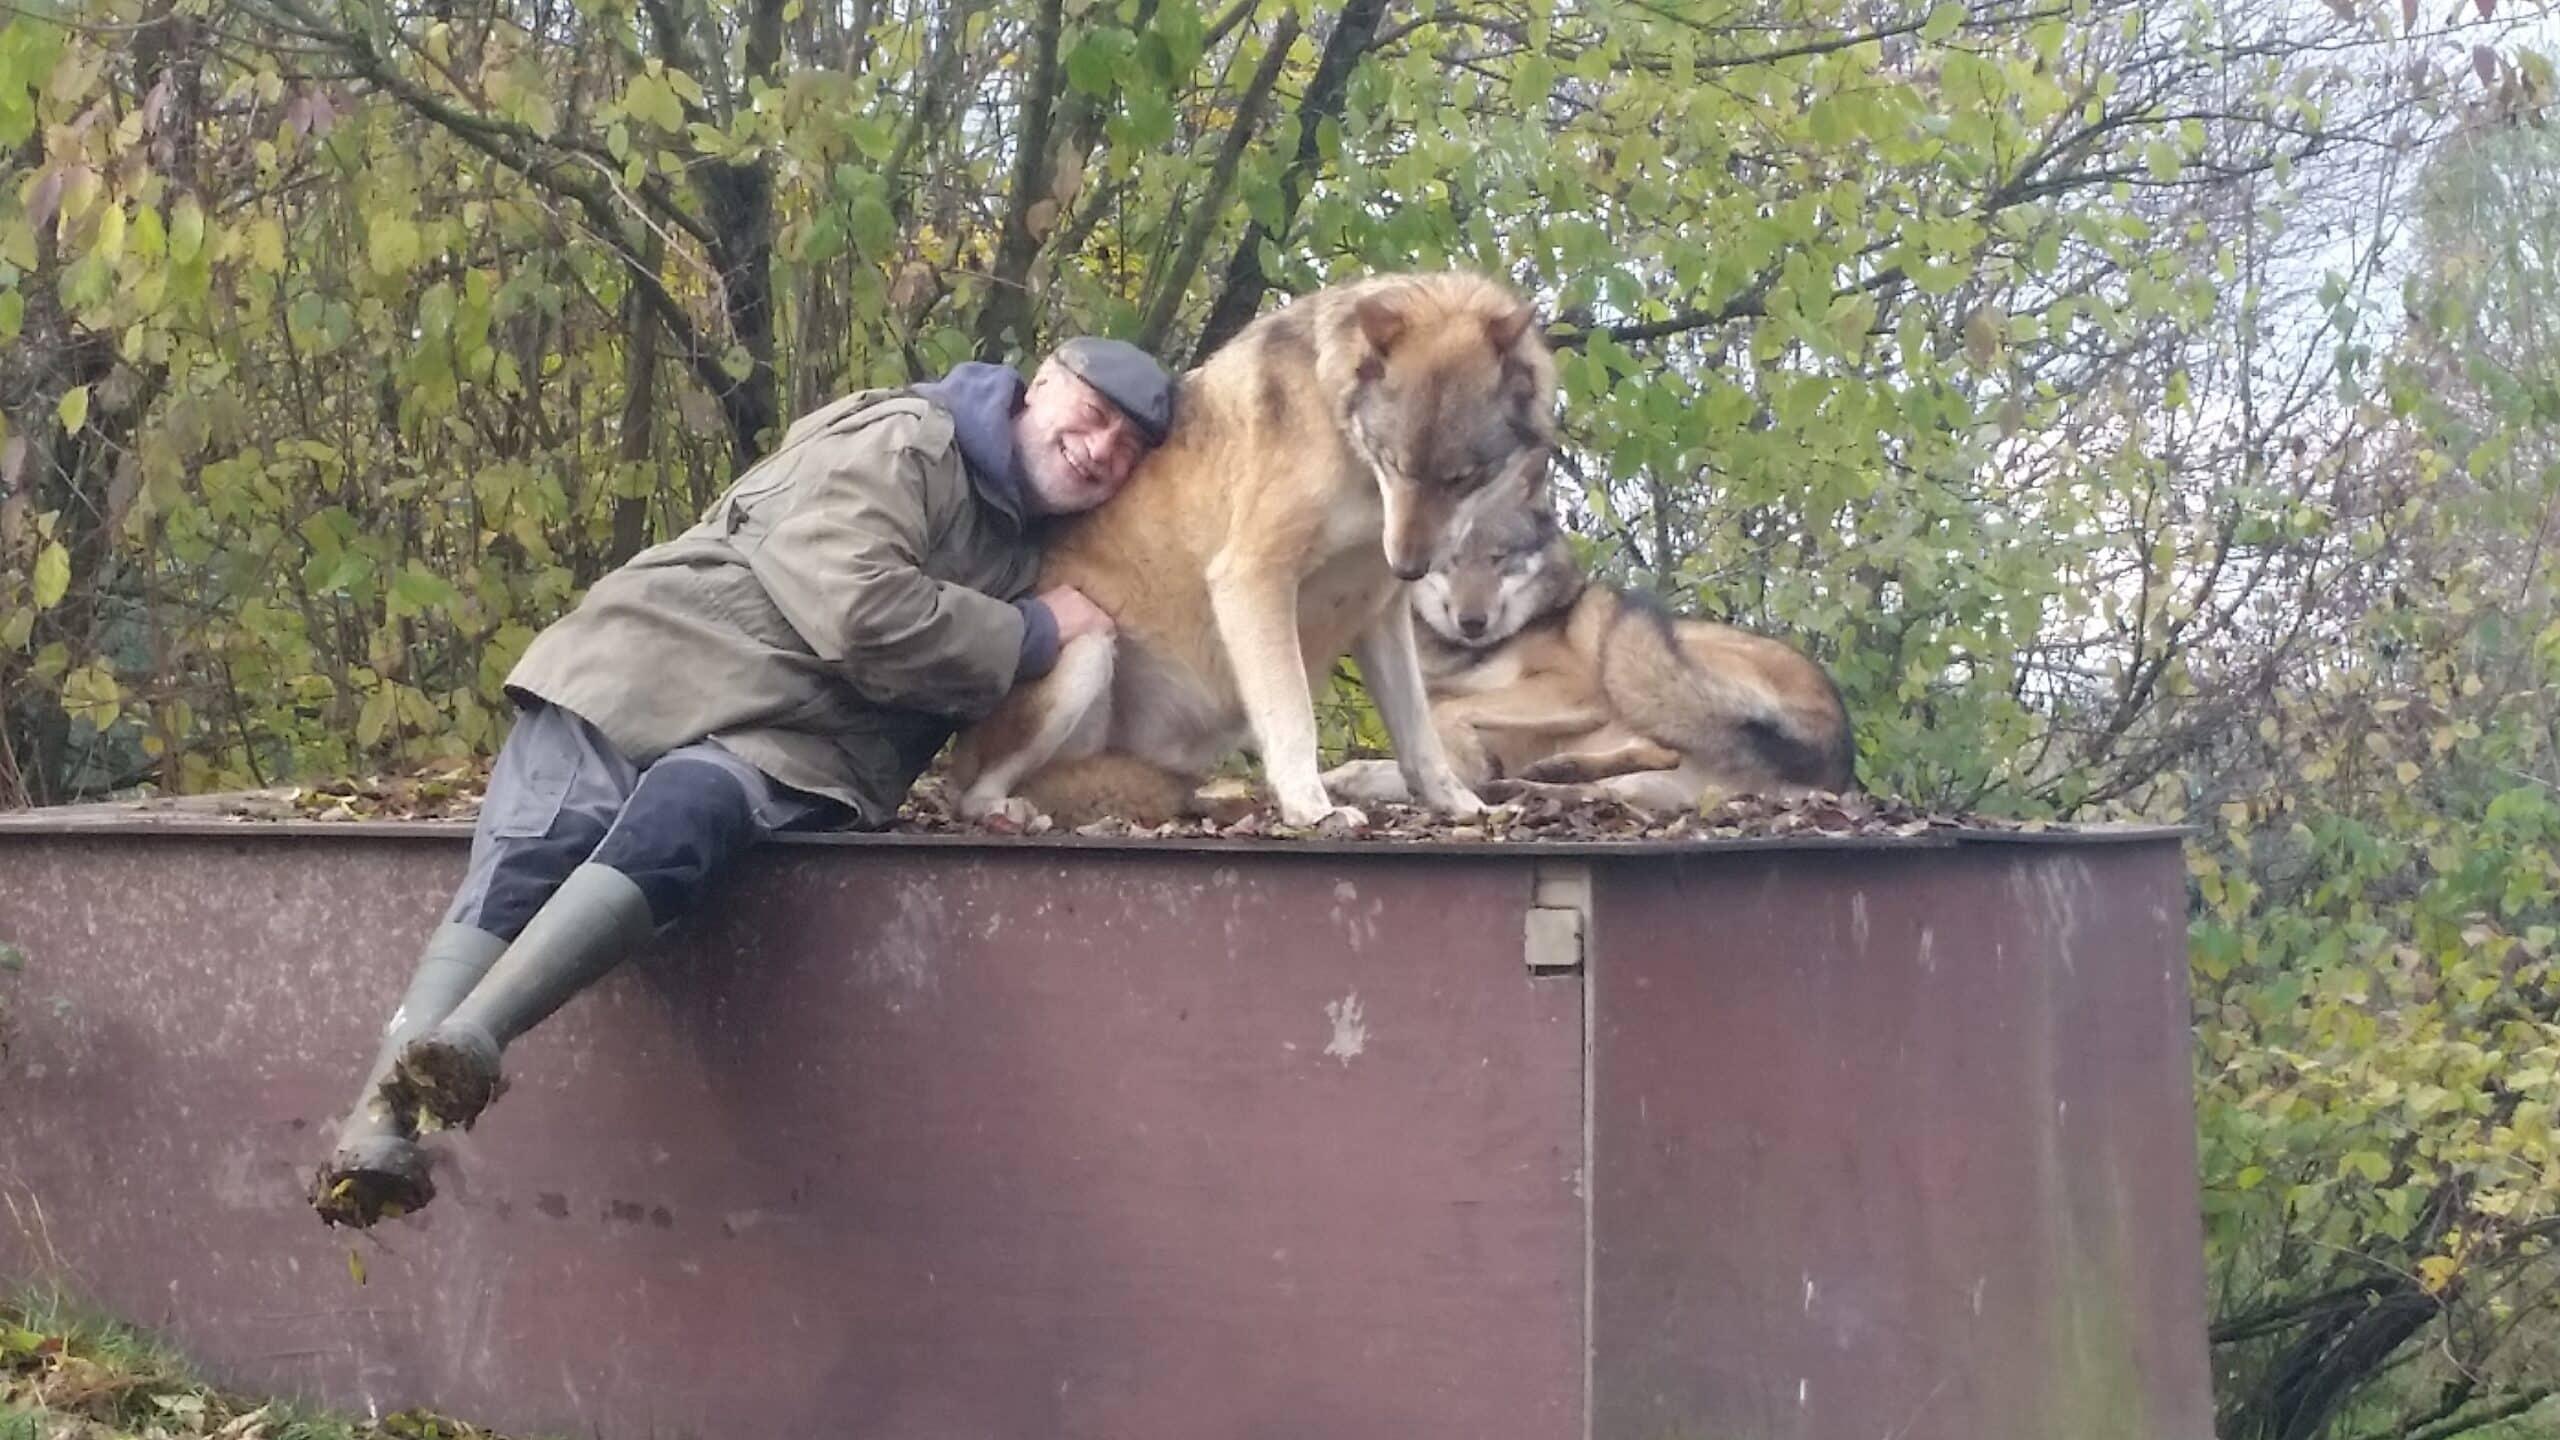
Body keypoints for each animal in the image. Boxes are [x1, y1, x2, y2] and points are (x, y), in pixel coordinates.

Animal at [947, 270, 1556, 825]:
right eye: (1394, 463)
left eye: (1461, 480)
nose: (1408, 567)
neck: (1347, 448)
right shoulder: (1254, 578)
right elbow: (1293, 716)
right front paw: (1312, 809)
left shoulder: (1380, 613)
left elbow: (1419, 734)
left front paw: (1460, 804)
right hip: (1087, 648)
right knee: (972, 792)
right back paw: (1006, 808)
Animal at [1331, 489, 1853, 809]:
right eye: (1449, 563)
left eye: (1498, 560)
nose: (1472, 621)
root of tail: (1837, 739)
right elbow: (1368, 769)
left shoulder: (1571, 690)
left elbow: (1453, 714)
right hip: (1651, 782)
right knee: (1614, 779)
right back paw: (1546, 775)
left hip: (1654, 665)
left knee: (1648, 747)